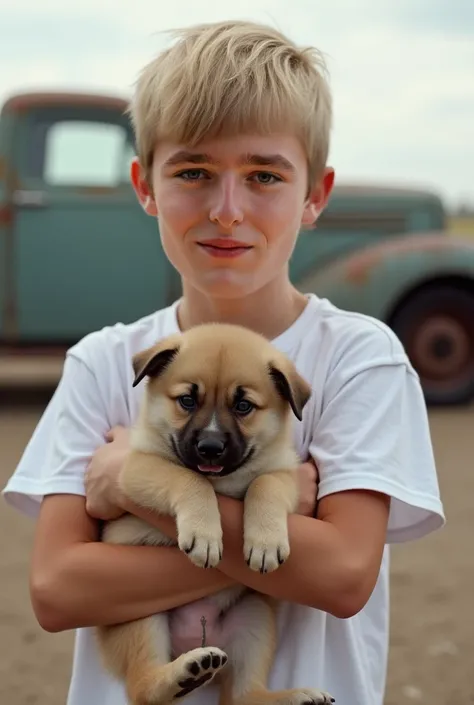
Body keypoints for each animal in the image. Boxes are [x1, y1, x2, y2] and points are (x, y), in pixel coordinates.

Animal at [95, 324, 334, 704]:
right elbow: (190, 479)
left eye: (243, 406)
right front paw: (205, 537)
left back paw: (295, 695)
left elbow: (264, 483)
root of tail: (195, 639)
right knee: (143, 687)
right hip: (141, 617)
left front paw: (265, 543)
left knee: (243, 695)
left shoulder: (285, 475)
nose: (210, 447)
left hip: (254, 618)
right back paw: (185, 672)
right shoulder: (138, 468)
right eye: (187, 400)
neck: (222, 481)